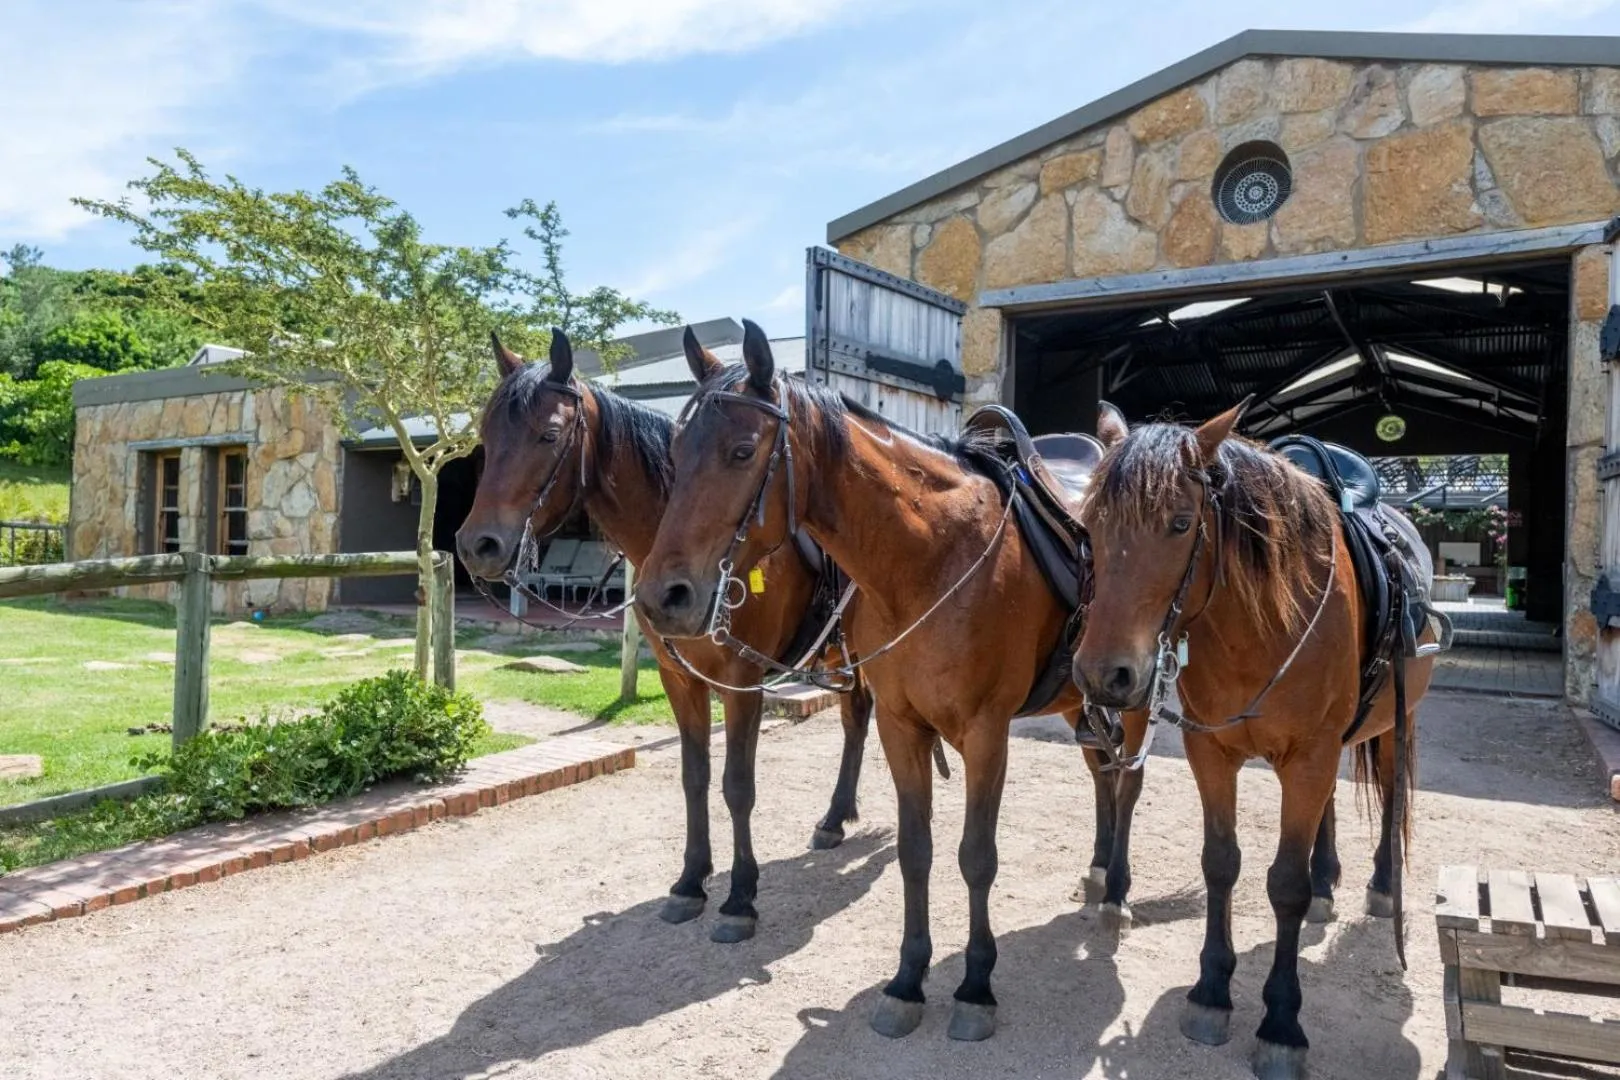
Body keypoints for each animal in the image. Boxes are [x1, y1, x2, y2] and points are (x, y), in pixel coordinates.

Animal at [455, 329, 875, 945]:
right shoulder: (681, 678)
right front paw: (690, 883)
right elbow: (694, 778)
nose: (476, 546)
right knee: (855, 717)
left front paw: (740, 899)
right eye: (486, 437)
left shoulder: (742, 681)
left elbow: (737, 785)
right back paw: (835, 818)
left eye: (548, 434)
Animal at [633, 318, 1146, 1042]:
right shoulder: (902, 727)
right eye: (676, 451)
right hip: (1081, 698)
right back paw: (1101, 870)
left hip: (1134, 697)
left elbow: (976, 857)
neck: (931, 556)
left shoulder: (986, 735)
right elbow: (915, 851)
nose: (662, 598)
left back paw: (1119, 893)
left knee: (1127, 783)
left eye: (741, 450)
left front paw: (975, 988)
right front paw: (908, 980)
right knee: (1102, 773)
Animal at [1072, 401, 1435, 1080]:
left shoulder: (1309, 756)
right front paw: (1211, 992)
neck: (1260, 625)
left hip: (1393, 724)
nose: (1105, 675)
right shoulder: (1213, 754)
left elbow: (1284, 885)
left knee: (1391, 793)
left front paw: (1281, 1023)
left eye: (1181, 522)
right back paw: (1328, 881)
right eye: (1089, 524)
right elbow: (1221, 863)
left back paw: (1379, 886)